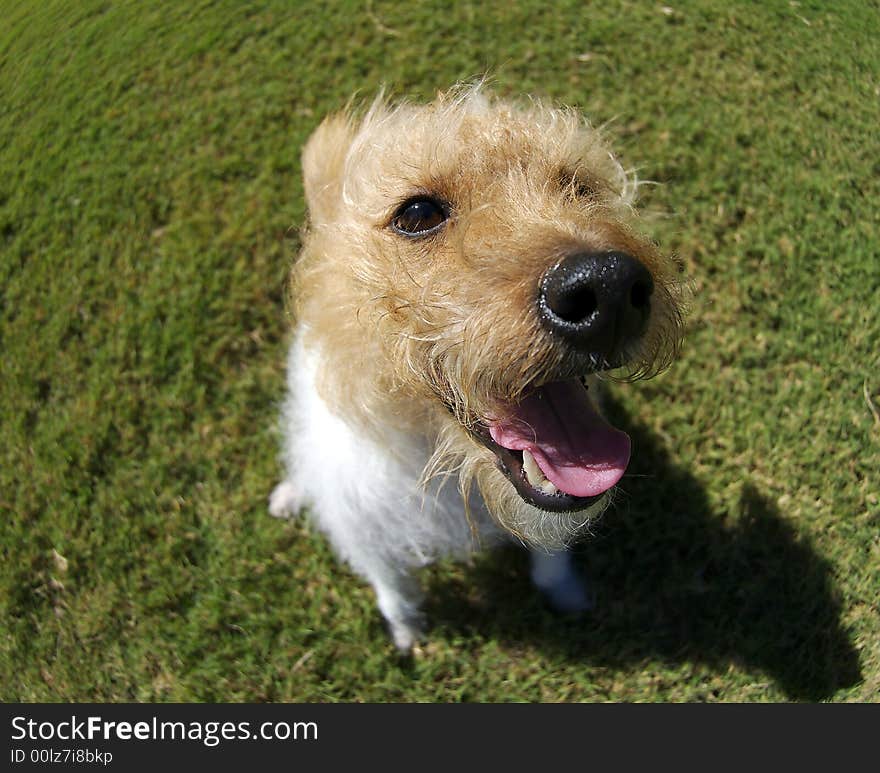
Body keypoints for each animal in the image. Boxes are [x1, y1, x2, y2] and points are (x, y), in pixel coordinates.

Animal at [272, 84, 684, 652]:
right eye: (417, 213)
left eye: (580, 187)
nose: (609, 288)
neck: (438, 465)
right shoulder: (368, 532)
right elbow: (392, 587)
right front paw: (407, 634)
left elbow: (551, 553)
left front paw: (566, 593)